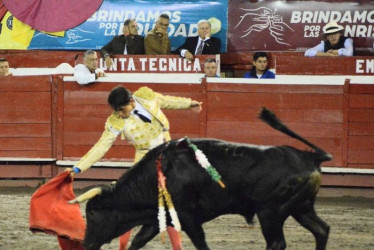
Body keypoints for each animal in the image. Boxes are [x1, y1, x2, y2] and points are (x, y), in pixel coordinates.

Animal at [74, 109, 332, 250]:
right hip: (301, 207)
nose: (85, 244)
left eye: (92, 214)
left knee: (277, 243)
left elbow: (201, 243)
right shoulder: (161, 215)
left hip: (271, 212)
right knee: (321, 230)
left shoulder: (188, 217)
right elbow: (138, 240)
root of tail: (310, 156)